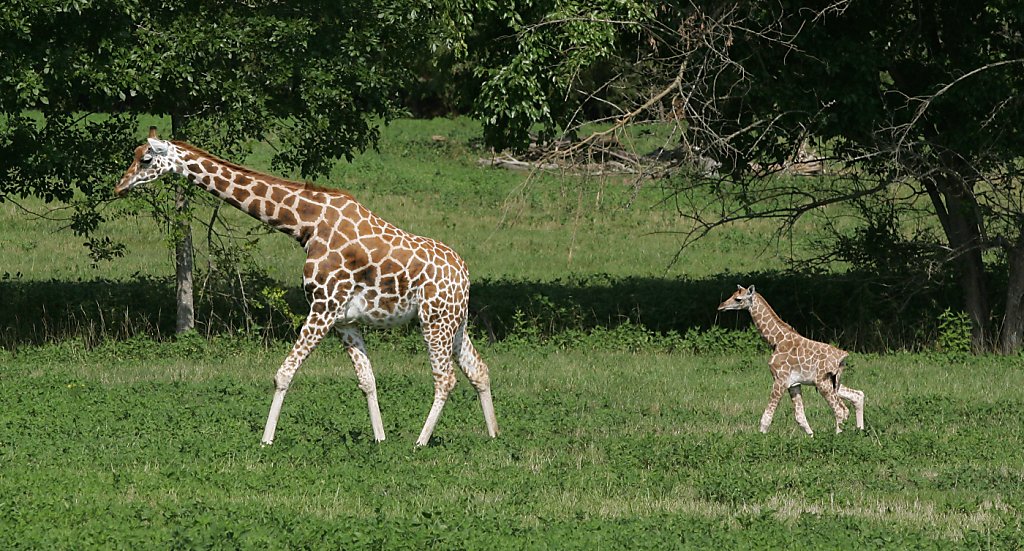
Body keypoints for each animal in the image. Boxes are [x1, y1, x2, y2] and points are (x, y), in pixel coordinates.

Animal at [117, 126, 499, 444]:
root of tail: (465, 273)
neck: (305, 224)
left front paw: (266, 441)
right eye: (133, 155)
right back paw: (494, 435)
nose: (119, 186)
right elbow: (367, 380)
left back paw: (420, 442)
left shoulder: (322, 307)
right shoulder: (344, 319)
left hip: (434, 320)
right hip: (455, 321)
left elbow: (283, 373)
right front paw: (379, 440)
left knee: (445, 378)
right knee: (478, 370)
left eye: (146, 159)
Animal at [720, 282, 864, 432]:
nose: (721, 306)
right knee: (857, 396)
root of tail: (843, 357)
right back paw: (860, 431)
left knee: (840, 410)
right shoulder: (794, 383)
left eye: (738, 299)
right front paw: (811, 437)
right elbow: (800, 418)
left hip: (822, 382)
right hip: (834, 382)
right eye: (732, 295)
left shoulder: (780, 380)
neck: (776, 340)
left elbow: (766, 418)